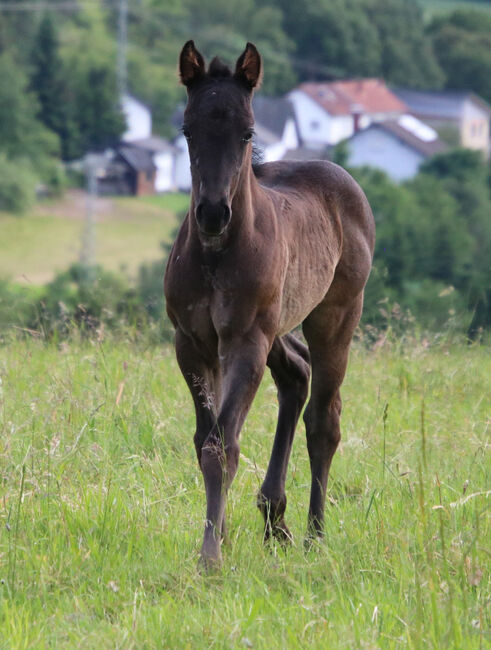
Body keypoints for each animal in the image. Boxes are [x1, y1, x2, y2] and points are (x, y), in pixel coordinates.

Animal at [165, 41, 376, 568]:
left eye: (247, 132)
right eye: (188, 129)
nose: (213, 213)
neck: (216, 254)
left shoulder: (244, 342)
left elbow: (222, 444)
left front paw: (210, 559)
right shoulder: (192, 343)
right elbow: (205, 439)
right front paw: (219, 538)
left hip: (334, 316)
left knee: (323, 420)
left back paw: (314, 536)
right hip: (277, 325)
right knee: (296, 374)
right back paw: (273, 517)